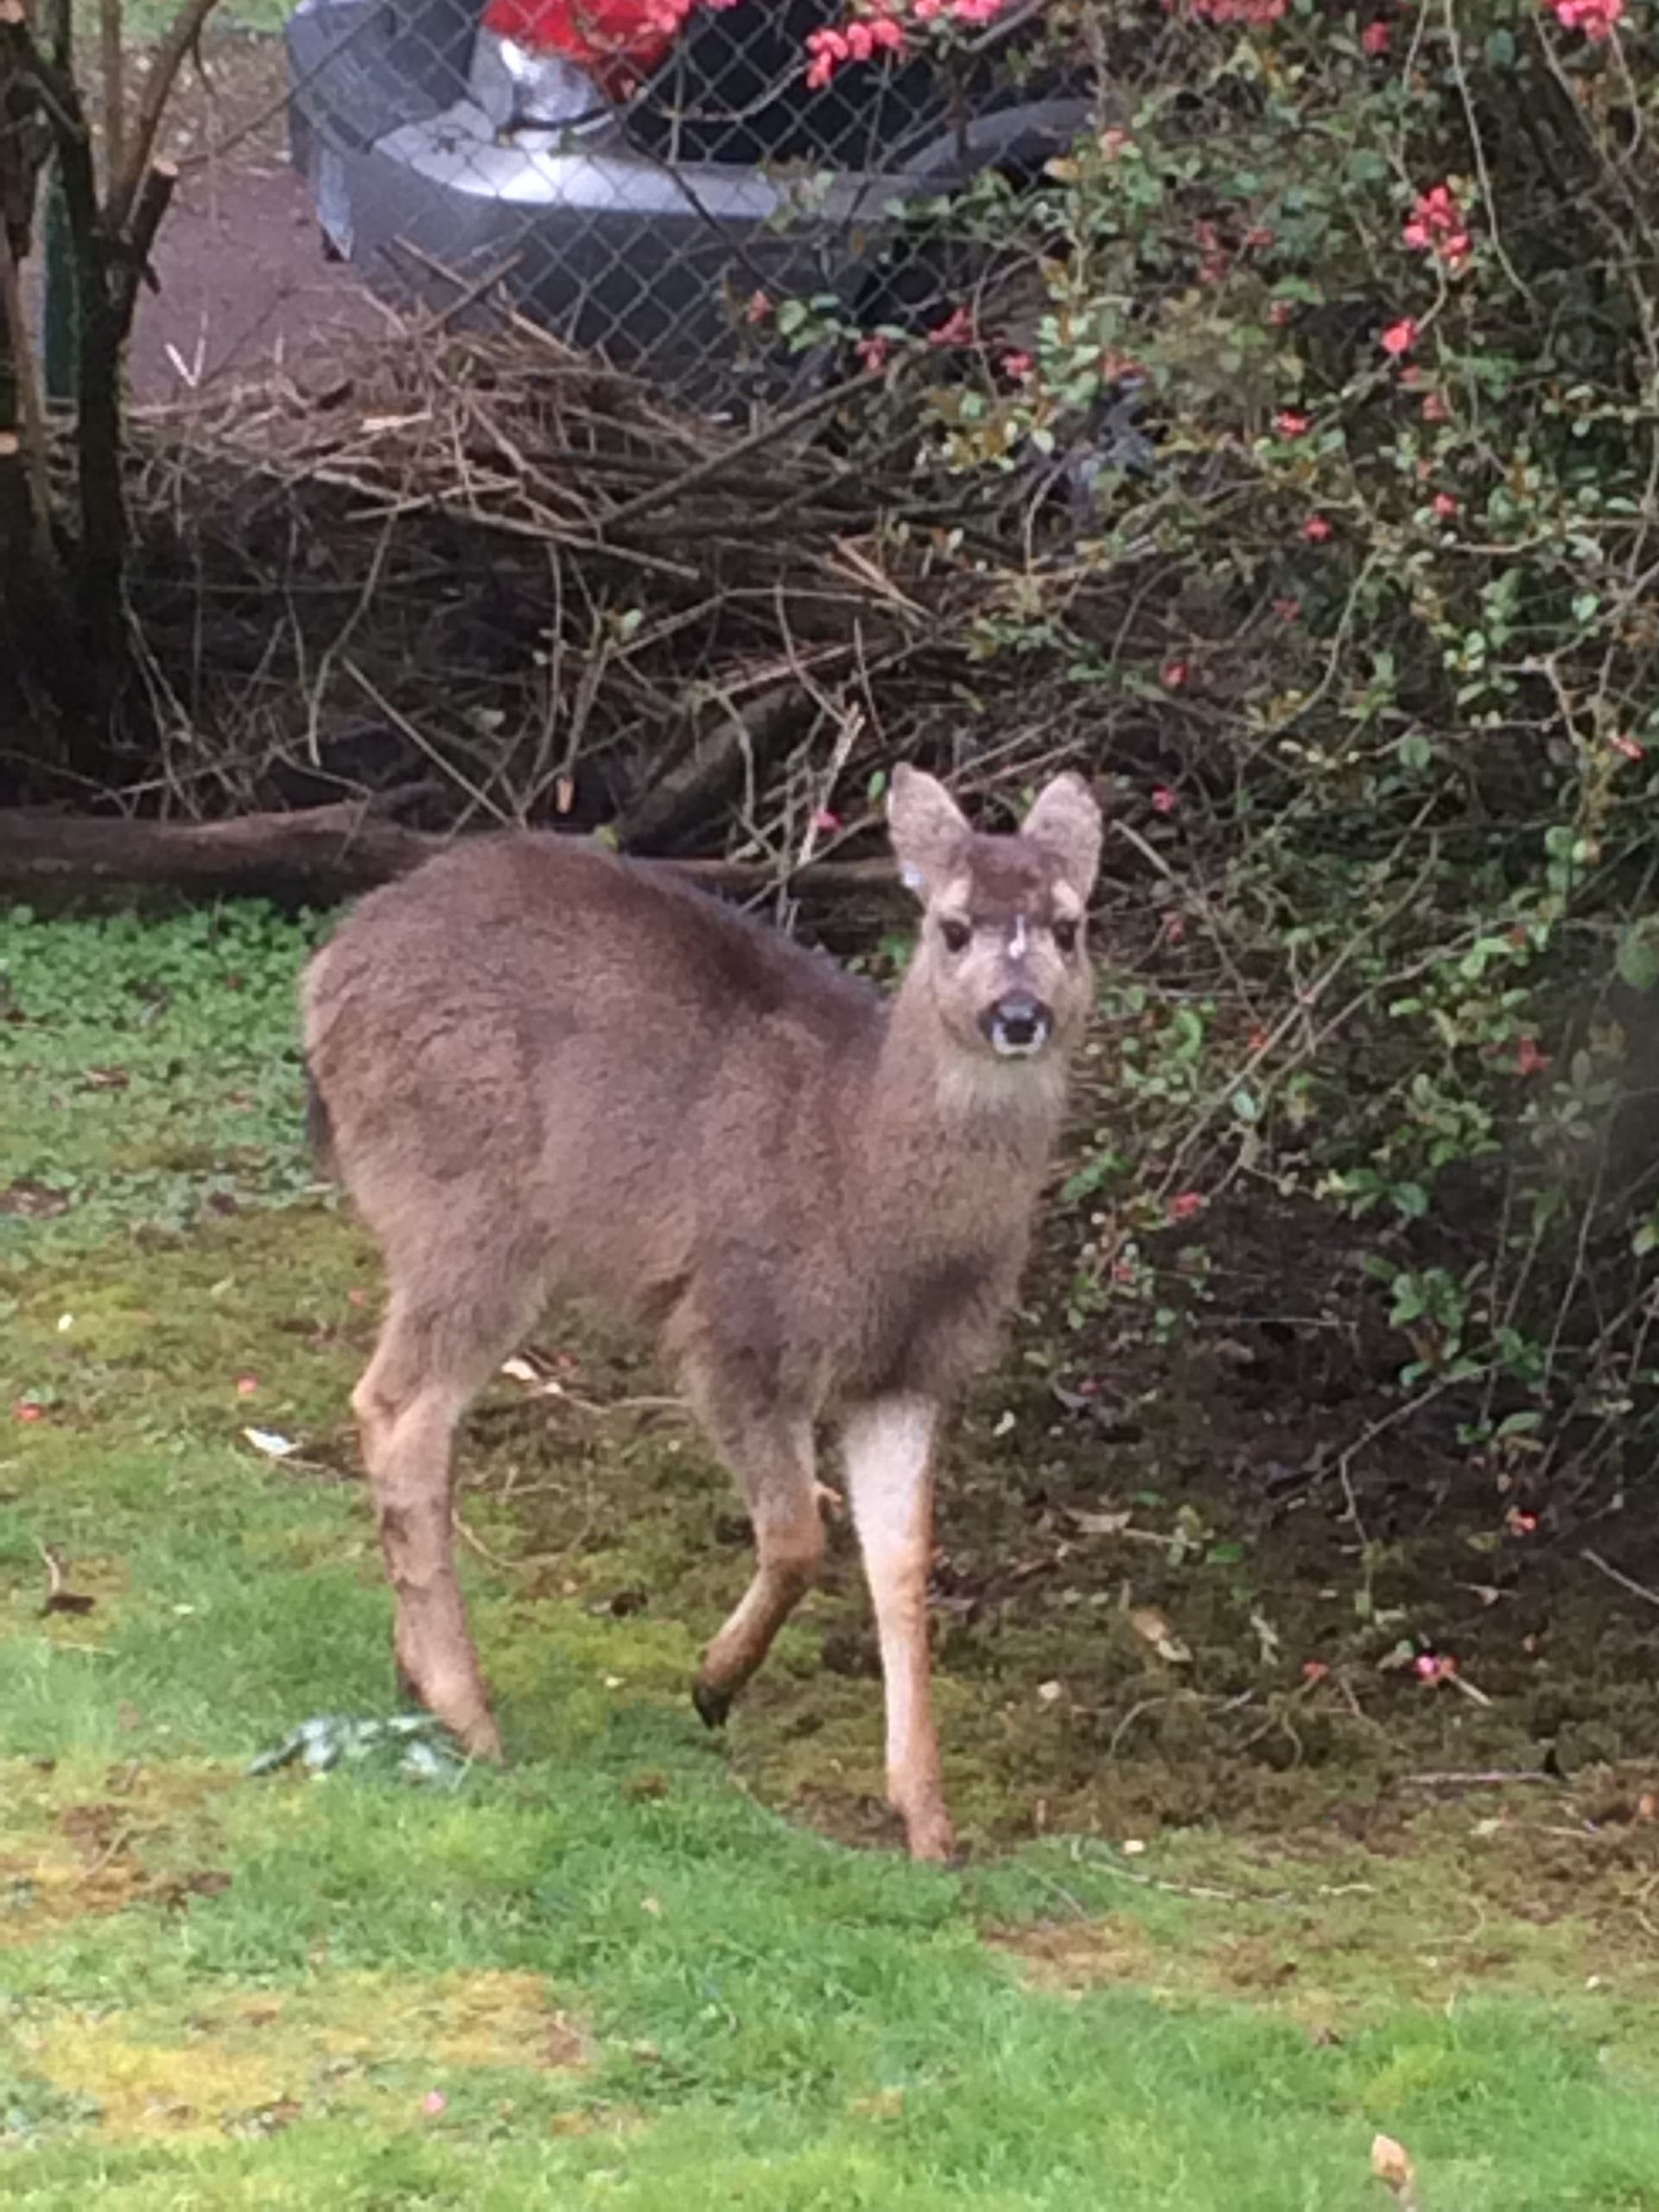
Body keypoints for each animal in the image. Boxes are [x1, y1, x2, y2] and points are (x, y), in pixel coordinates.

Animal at [300, 765, 1101, 1860]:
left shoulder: (908, 1372)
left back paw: (418, 1677)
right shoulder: (732, 1322)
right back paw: (471, 1716)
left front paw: (929, 1820)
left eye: (1068, 926)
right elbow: (800, 1532)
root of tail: (324, 979)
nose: (1018, 1014)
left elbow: (903, 1566)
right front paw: (712, 1684)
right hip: (469, 1208)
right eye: (952, 926)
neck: (861, 1175)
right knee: (397, 1408)